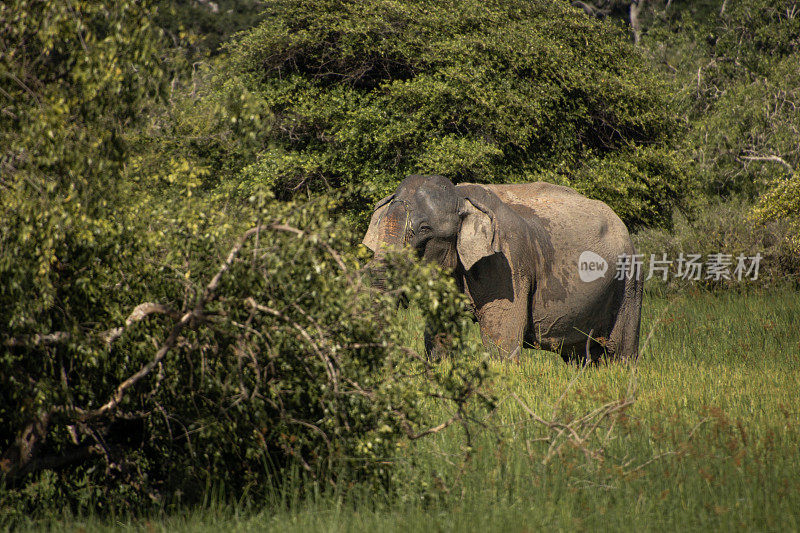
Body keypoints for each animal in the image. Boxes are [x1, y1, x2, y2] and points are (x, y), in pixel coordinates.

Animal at [362, 175, 644, 362]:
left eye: (424, 230)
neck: (460, 195)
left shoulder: (506, 264)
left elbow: (501, 339)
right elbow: (438, 335)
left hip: (630, 281)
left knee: (621, 352)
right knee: (581, 356)